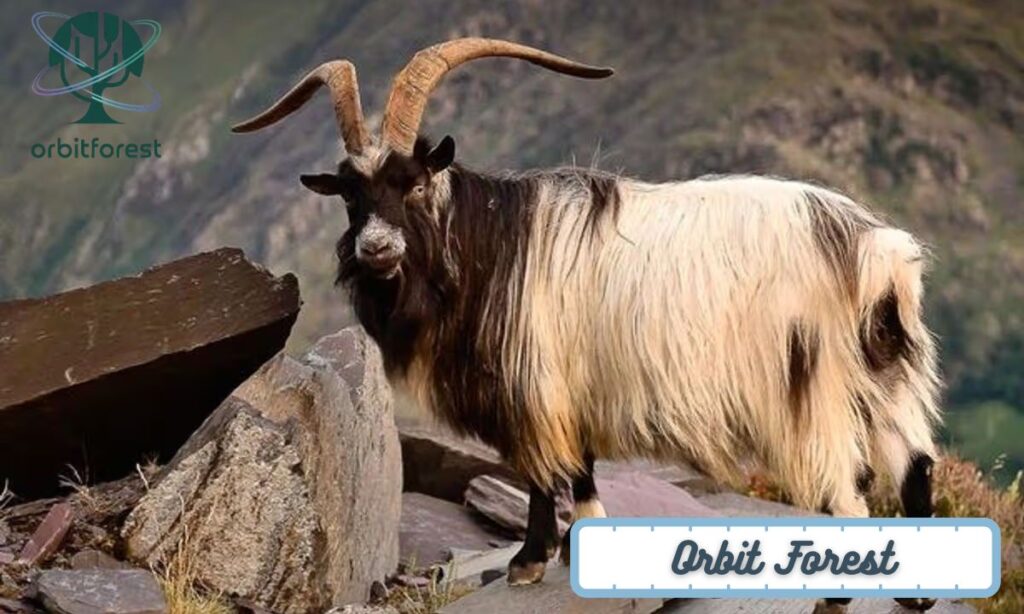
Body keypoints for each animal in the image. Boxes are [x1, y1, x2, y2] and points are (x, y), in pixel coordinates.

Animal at [233, 38, 941, 612]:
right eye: (351, 194)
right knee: (916, 466)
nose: (376, 249)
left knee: (848, 493)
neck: (490, 246)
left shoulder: (533, 382)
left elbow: (542, 471)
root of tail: (874, 251)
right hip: (885, 377)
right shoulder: (576, 384)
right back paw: (916, 596)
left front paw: (529, 561)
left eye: (412, 183)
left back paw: (835, 600)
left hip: (812, 390)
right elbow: (579, 466)